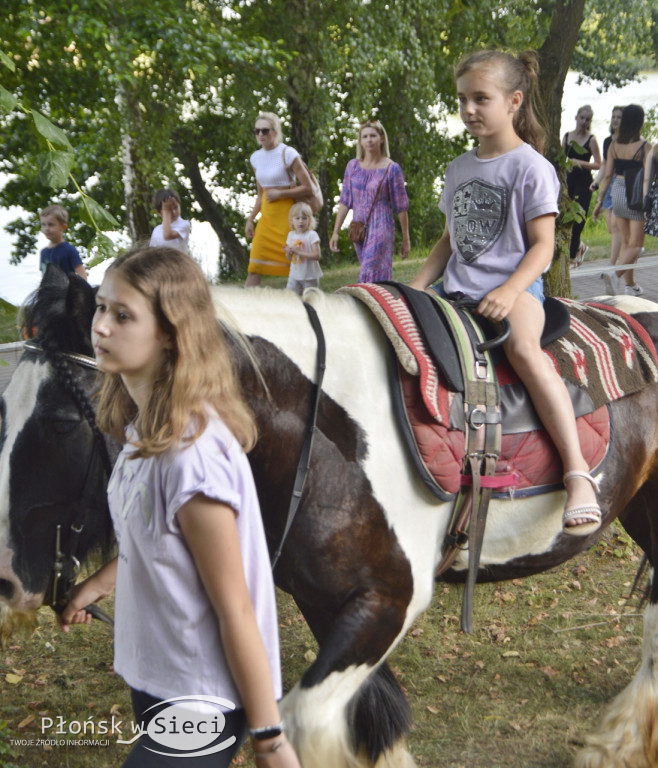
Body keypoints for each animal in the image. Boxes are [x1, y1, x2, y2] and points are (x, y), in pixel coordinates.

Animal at [1, 266, 656, 768]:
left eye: (61, 421)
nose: (7, 580)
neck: (321, 430)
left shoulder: (391, 599)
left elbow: (307, 720)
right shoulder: (323, 597)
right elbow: (369, 718)